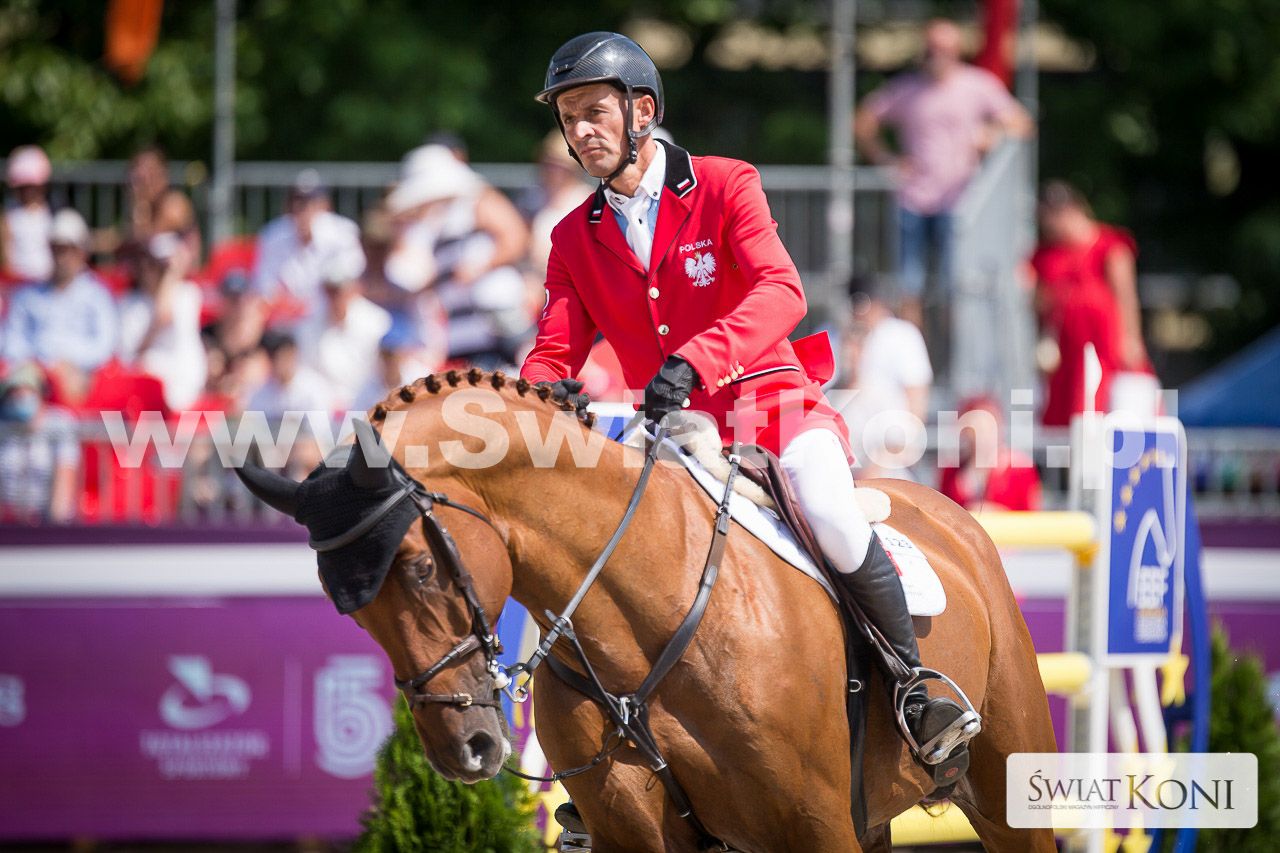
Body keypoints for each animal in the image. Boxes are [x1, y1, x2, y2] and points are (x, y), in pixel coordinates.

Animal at [236, 368, 1058, 852]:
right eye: (351, 613)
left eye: (419, 568)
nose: (464, 748)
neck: (645, 617)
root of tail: (950, 512)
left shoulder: (817, 824)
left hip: (1006, 781)